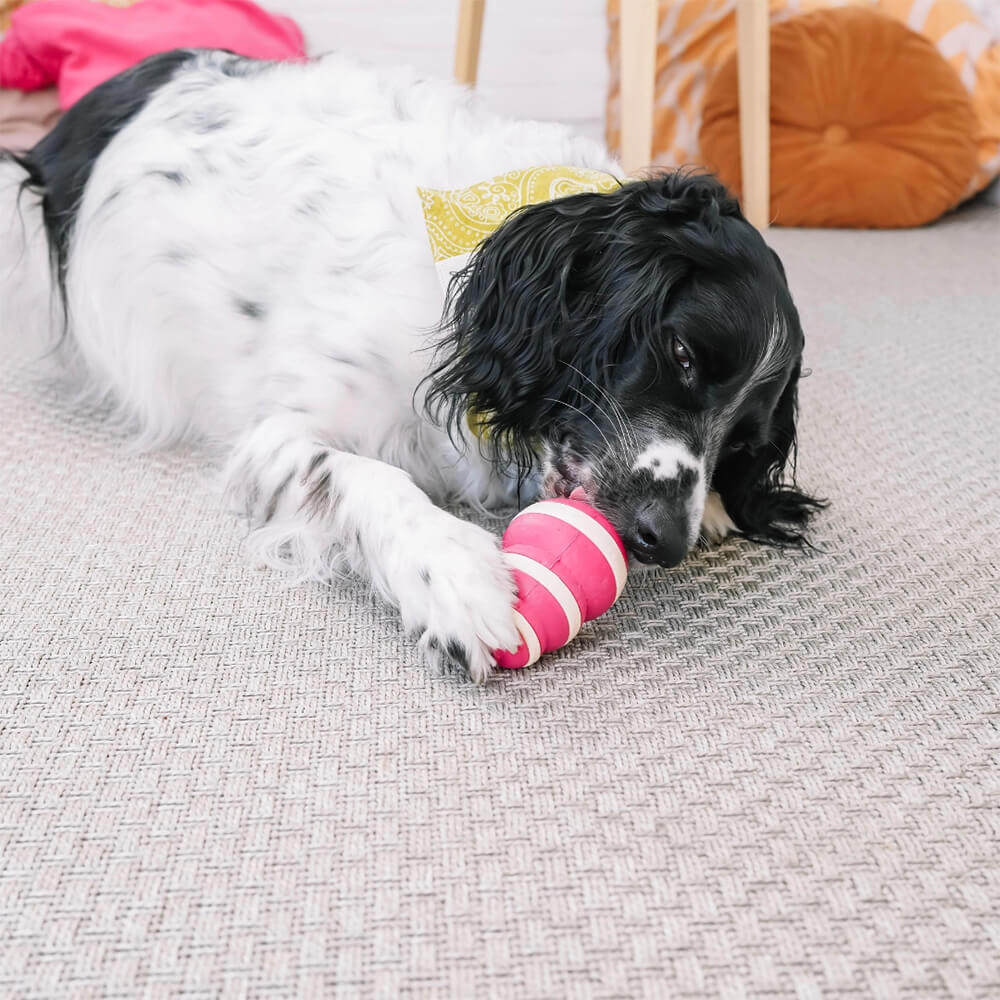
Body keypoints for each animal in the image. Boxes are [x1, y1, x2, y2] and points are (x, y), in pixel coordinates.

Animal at [1, 50, 820, 684]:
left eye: (744, 443)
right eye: (680, 354)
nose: (664, 541)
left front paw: (715, 505)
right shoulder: (279, 434)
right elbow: (368, 477)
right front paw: (454, 575)